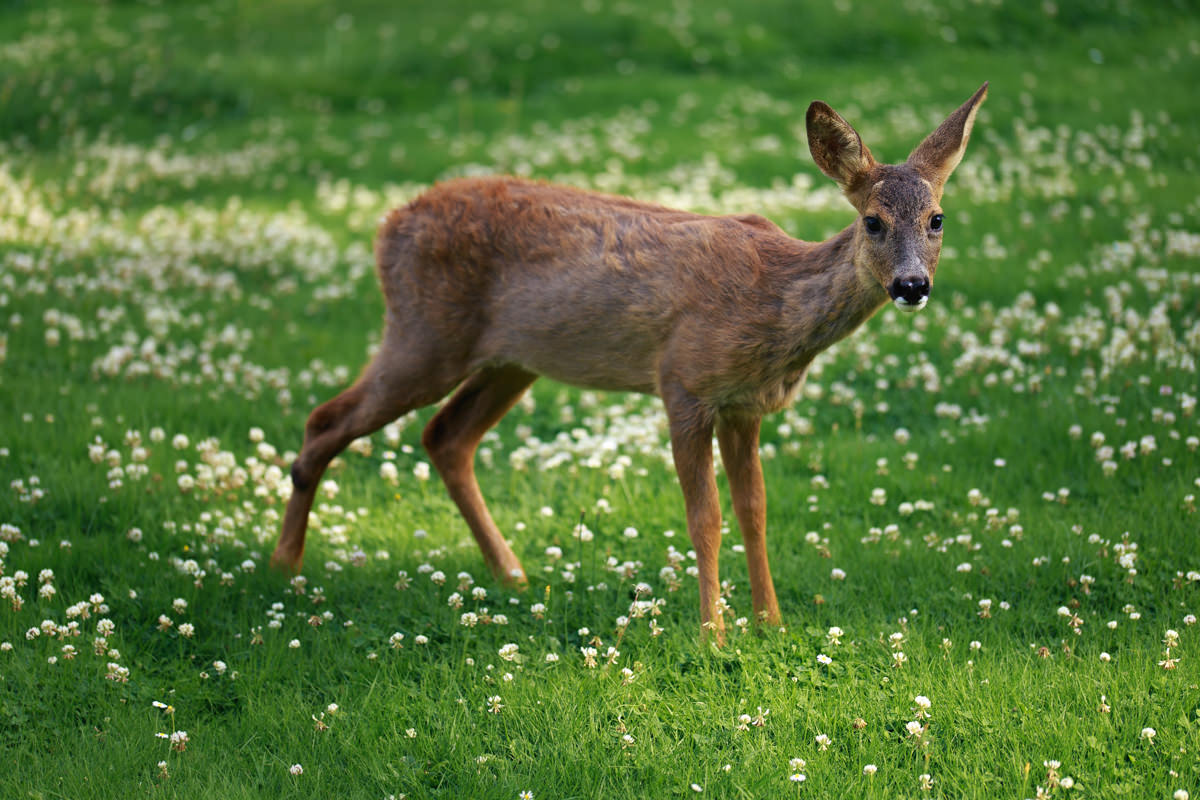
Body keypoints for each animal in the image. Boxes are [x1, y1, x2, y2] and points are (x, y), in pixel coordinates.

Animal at [272, 82, 984, 642]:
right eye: (872, 221)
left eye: (937, 218)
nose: (912, 285)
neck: (774, 305)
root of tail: (386, 226)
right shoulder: (684, 383)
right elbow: (706, 518)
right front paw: (714, 635)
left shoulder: (744, 405)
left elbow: (754, 510)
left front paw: (772, 623)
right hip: (423, 334)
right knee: (324, 419)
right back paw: (284, 565)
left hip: (510, 361)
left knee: (445, 436)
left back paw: (511, 574)